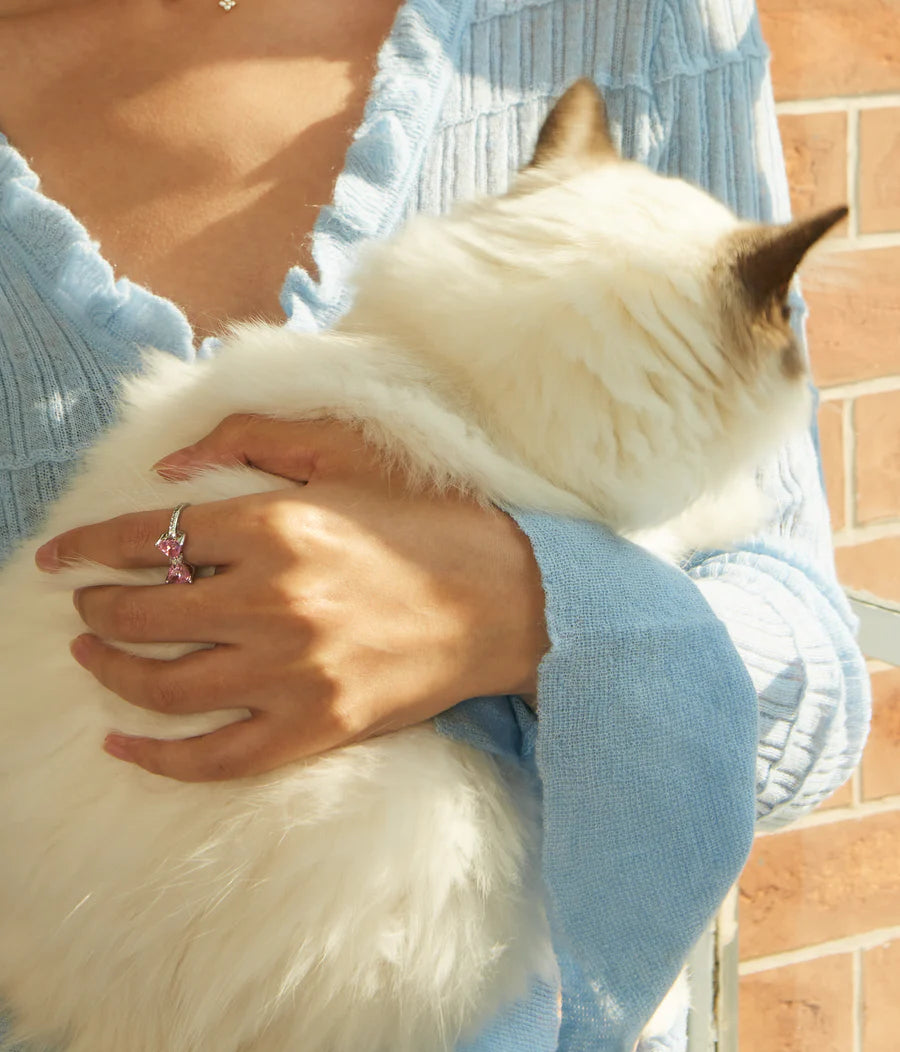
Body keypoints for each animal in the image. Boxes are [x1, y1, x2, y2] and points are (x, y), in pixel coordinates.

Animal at [0, 82, 845, 1052]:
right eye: (793, 329)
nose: (812, 372)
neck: (444, 380)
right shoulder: (623, 527)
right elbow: (677, 533)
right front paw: (740, 499)